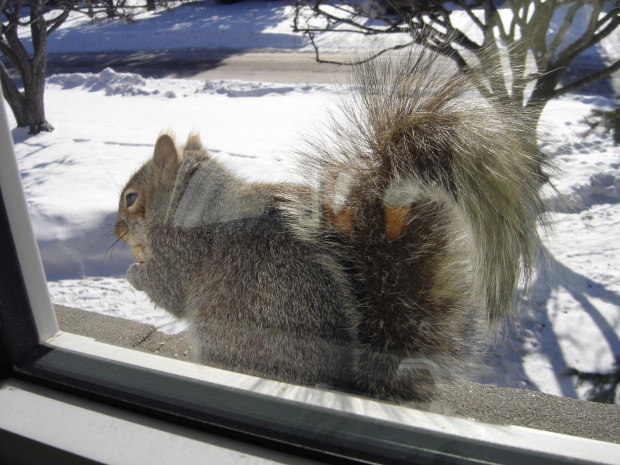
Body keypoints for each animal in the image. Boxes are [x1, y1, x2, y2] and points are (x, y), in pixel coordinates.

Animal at [114, 48, 544, 402]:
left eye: (131, 197)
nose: (116, 230)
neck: (189, 204)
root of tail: (346, 376)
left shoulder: (185, 250)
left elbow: (168, 287)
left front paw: (134, 274)